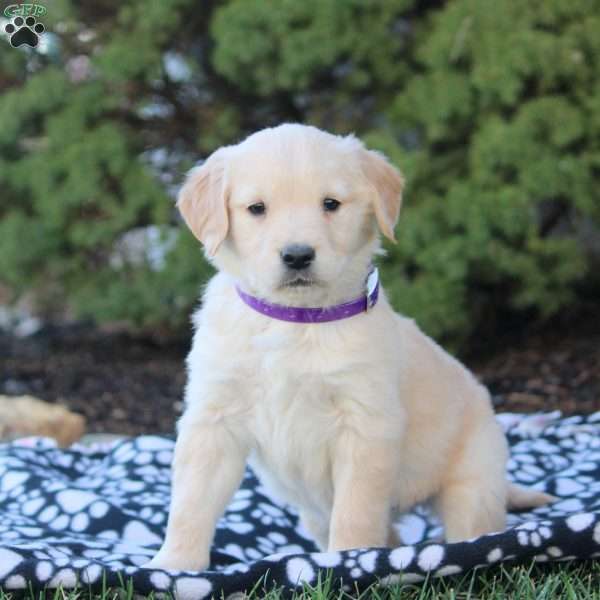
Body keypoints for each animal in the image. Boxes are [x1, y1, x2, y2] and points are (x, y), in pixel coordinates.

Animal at [148, 124, 556, 568]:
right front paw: (173, 565)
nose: (297, 256)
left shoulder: (365, 425)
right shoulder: (213, 419)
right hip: (314, 514)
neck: (296, 321)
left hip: (473, 479)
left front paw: (350, 562)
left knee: (475, 528)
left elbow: (356, 509)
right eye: (256, 208)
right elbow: (191, 502)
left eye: (331, 204)